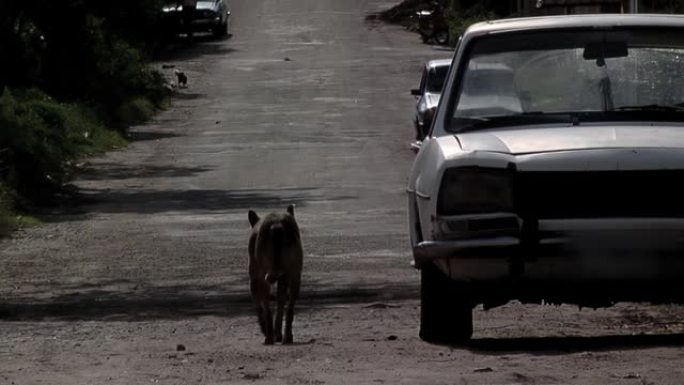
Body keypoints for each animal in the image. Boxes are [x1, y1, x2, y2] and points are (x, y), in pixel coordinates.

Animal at [248, 206, 302, 344]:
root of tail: (277, 225)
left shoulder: (254, 278)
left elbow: (259, 308)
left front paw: (265, 329)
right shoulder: (283, 279)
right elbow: (280, 306)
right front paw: (278, 334)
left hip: (262, 277)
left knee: (267, 310)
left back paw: (268, 336)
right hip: (295, 274)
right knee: (289, 309)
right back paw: (287, 337)